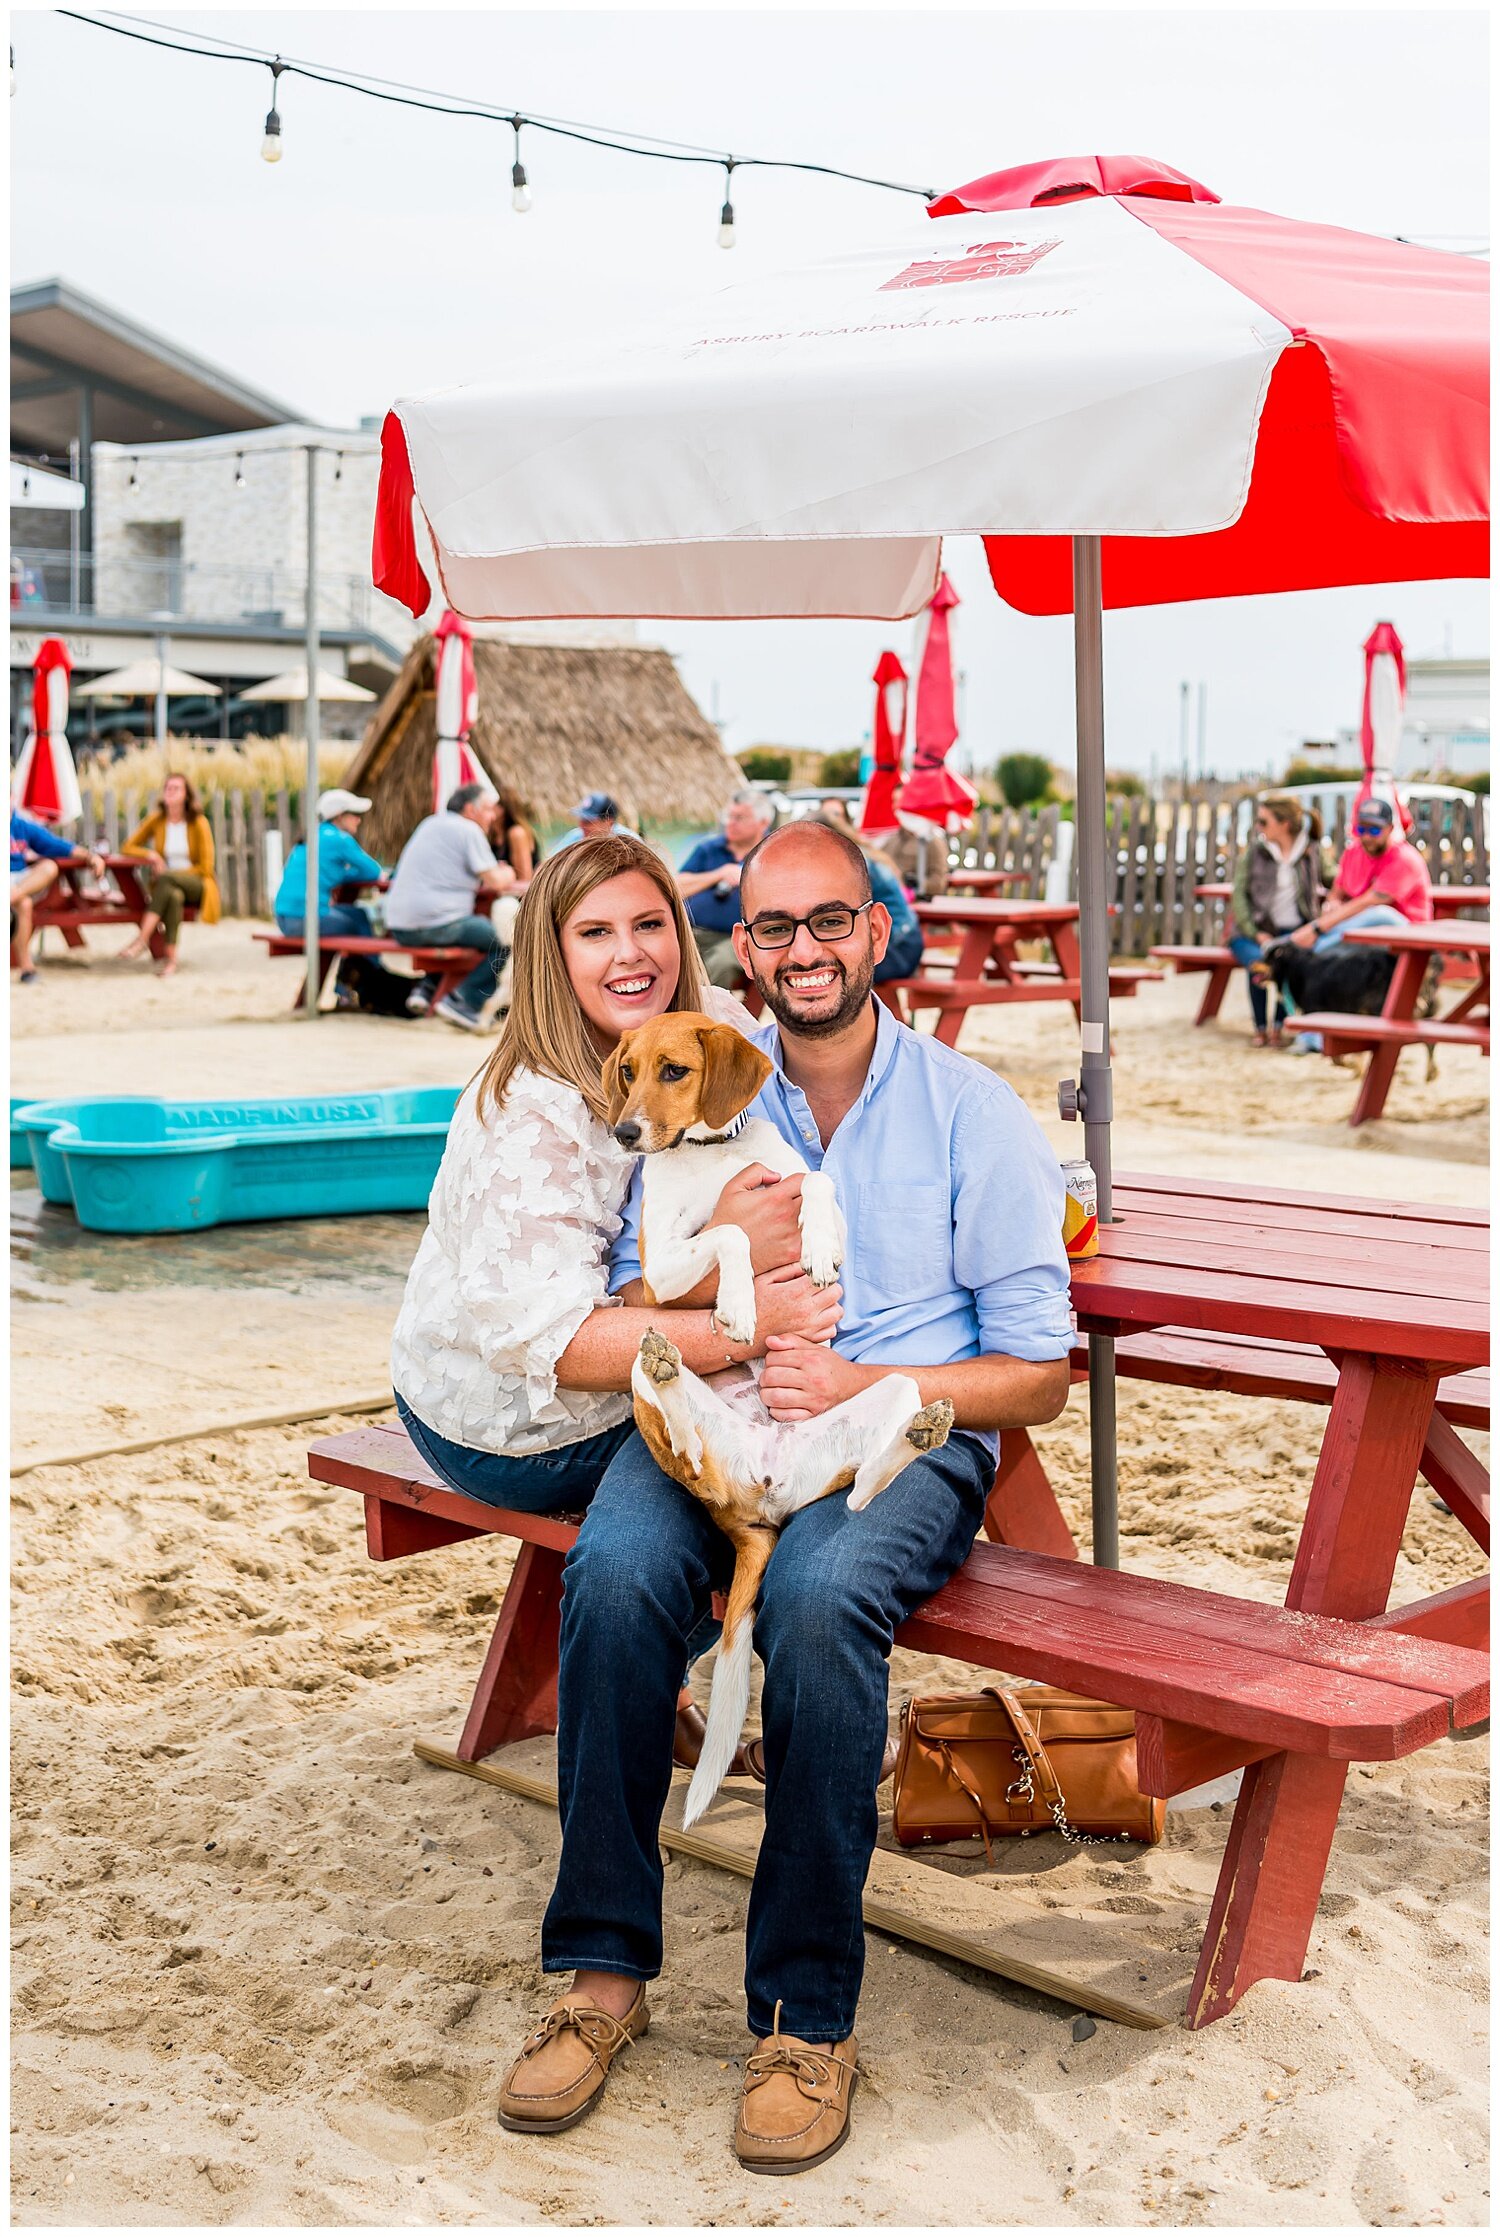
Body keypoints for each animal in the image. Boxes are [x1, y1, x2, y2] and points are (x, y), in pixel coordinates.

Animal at [603, 1015, 956, 1816]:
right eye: (627, 1070)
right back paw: (675, 1388)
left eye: (672, 1070)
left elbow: (817, 1179)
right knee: (679, 1427)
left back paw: (919, 1436)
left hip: (893, 1396)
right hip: (642, 1348)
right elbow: (731, 1232)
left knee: (863, 1488)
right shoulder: (661, 1273)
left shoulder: (794, 1183)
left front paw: (819, 1245)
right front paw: (738, 1306)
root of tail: (757, 1501)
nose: (624, 1133)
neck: (711, 1153)